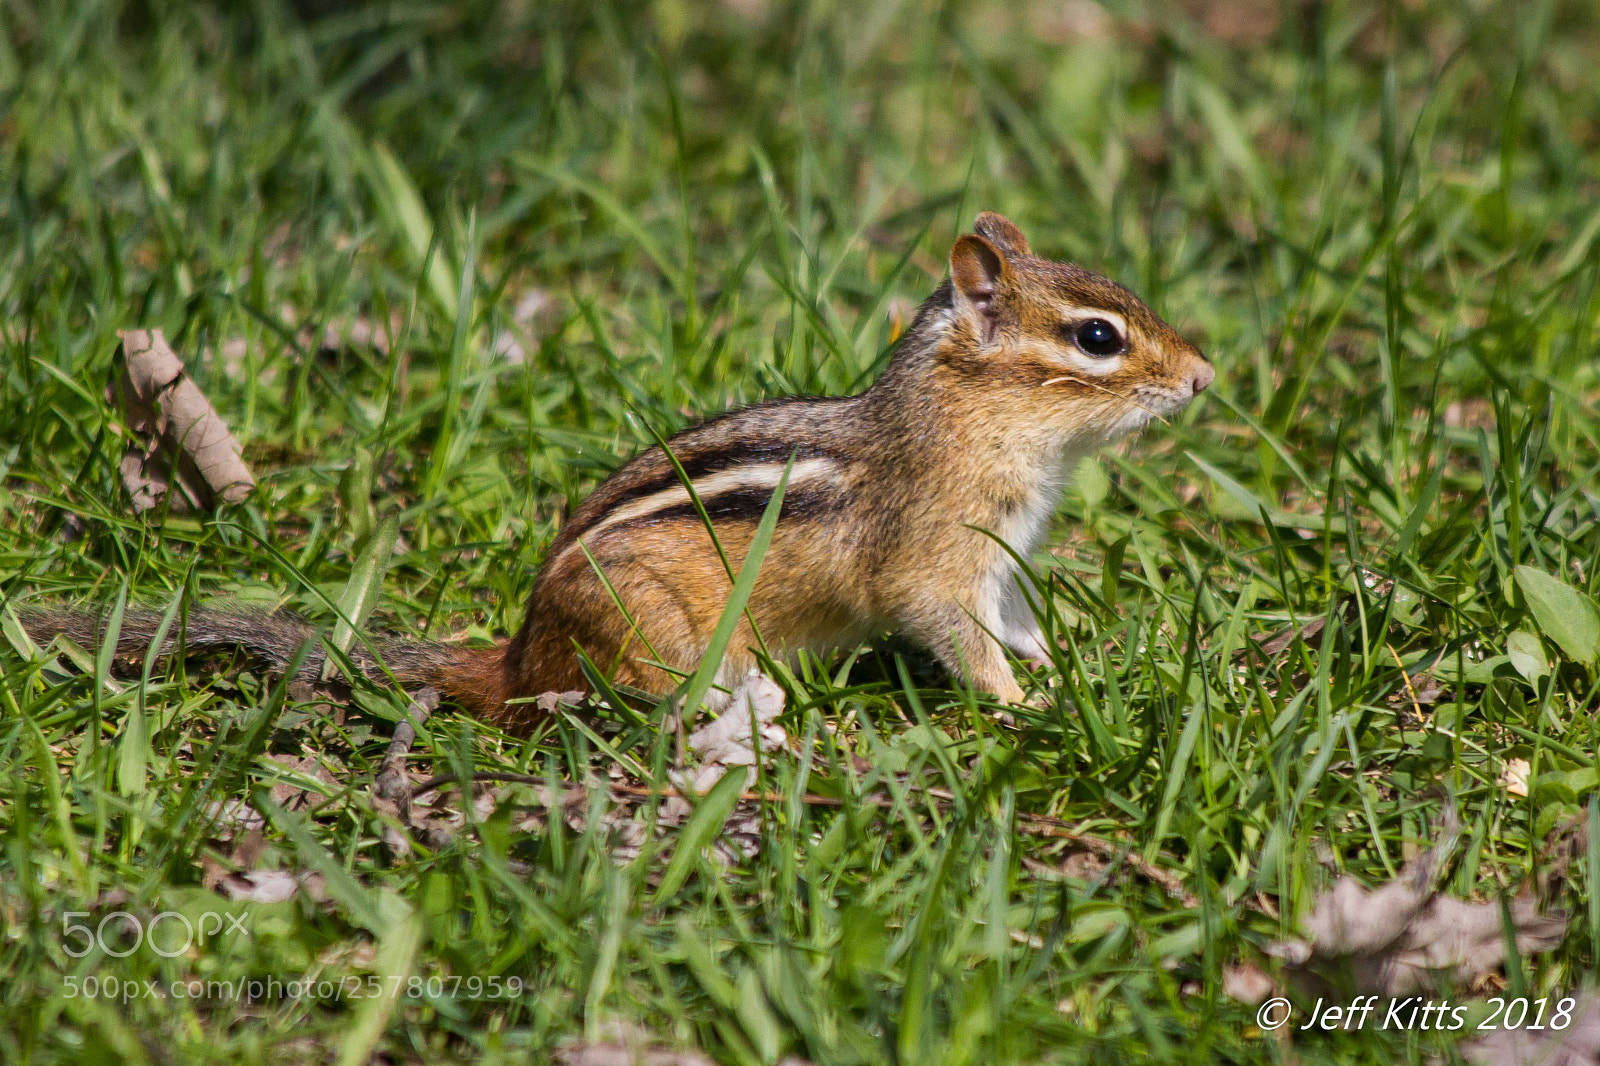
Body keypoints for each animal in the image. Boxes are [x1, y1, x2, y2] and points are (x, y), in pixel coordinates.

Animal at [21, 213, 1212, 726]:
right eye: (1099, 338)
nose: (1204, 376)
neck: (966, 421)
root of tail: (520, 654)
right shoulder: (935, 561)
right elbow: (961, 641)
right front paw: (1022, 704)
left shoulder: (1001, 560)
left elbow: (1015, 623)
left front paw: (1063, 669)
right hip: (648, 633)